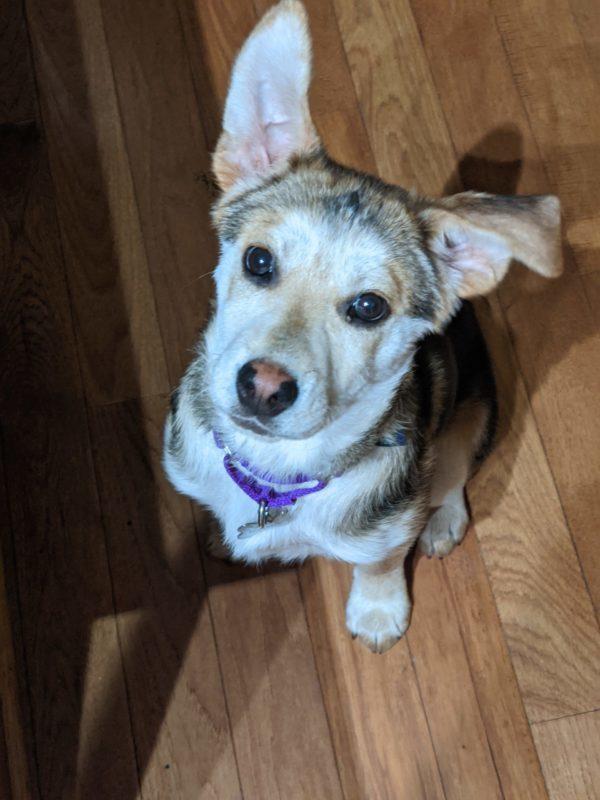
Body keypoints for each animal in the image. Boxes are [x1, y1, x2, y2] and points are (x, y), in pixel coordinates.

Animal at [162, 0, 560, 652]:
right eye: (258, 261)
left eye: (369, 307)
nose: (263, 388)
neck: (277, 473)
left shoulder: (386, 527)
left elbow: (378, 562)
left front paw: (377, 613)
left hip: (474, 415)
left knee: (452, 475)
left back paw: (443, 520)